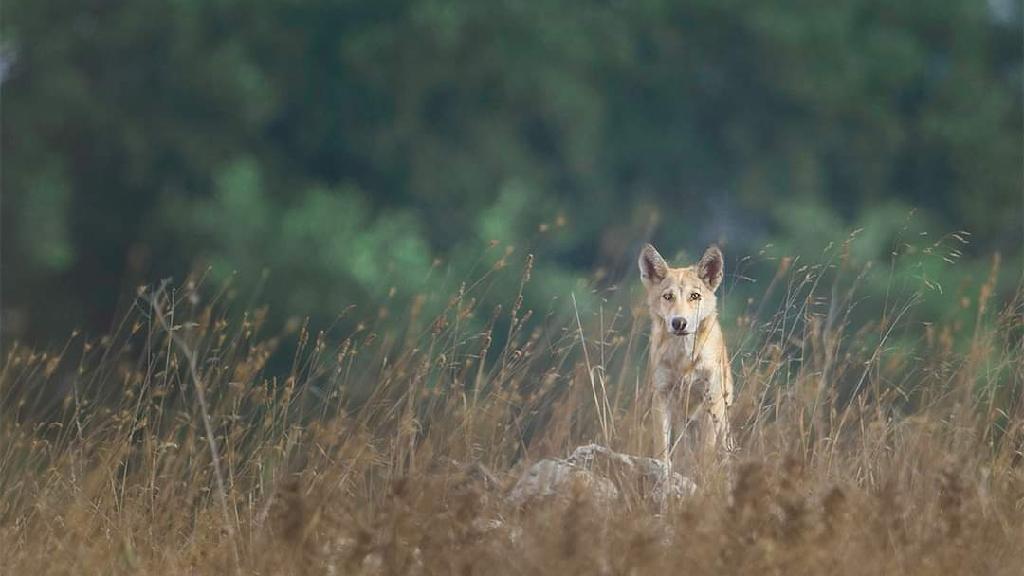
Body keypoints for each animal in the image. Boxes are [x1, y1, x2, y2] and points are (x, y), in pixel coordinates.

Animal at [634, 239, 733, 469]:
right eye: (668, 297)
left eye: (694, 296)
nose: (679, 322)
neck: (684, 358)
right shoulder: (662, 396)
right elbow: (662, 444)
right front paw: (663, 469)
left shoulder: (710, 399)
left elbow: (706, 451)